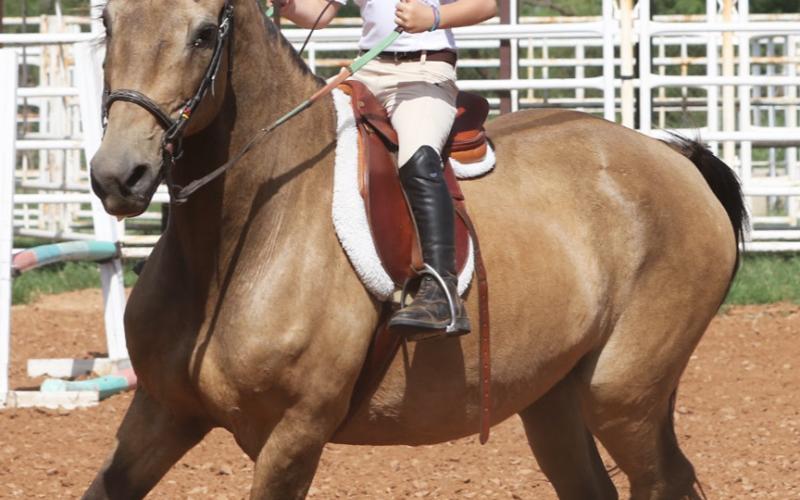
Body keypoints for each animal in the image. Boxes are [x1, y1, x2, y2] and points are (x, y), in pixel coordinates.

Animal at [86, 1, 746, 498]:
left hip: (622, 395)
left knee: (662, 476)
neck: (233, 245)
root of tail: (671, 155)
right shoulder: (161, 412)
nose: (119, 175)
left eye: (203, 34)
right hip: (551, 398)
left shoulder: (293, 433)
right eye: (108, 24)